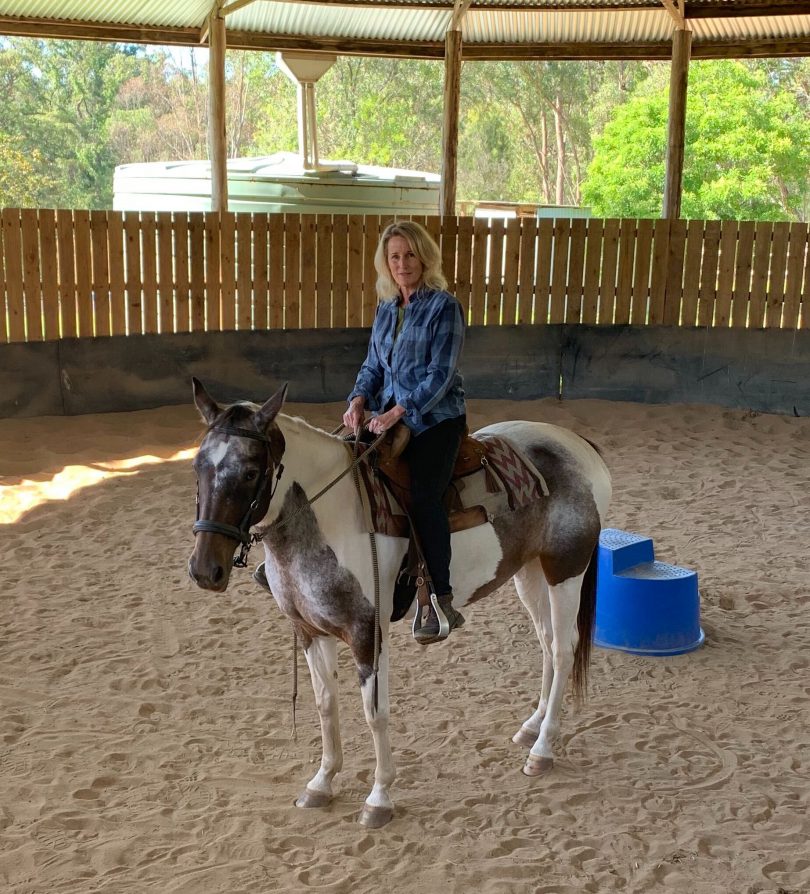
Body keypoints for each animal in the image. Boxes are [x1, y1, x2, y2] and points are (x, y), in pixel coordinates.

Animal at [188, 378, 608, 824]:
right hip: (529, 572)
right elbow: (325, 704)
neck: (329, 517)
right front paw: (321, 783)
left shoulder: (366, 632)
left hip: (566, 569)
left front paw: (379, 797)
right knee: (546, 643)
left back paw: (542, 749)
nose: (204, 570)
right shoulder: (310, 631)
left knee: (563, 649)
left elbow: (375, 712)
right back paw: (532, 726)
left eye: (251, 471)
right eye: (197, 467)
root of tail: (577, 443)